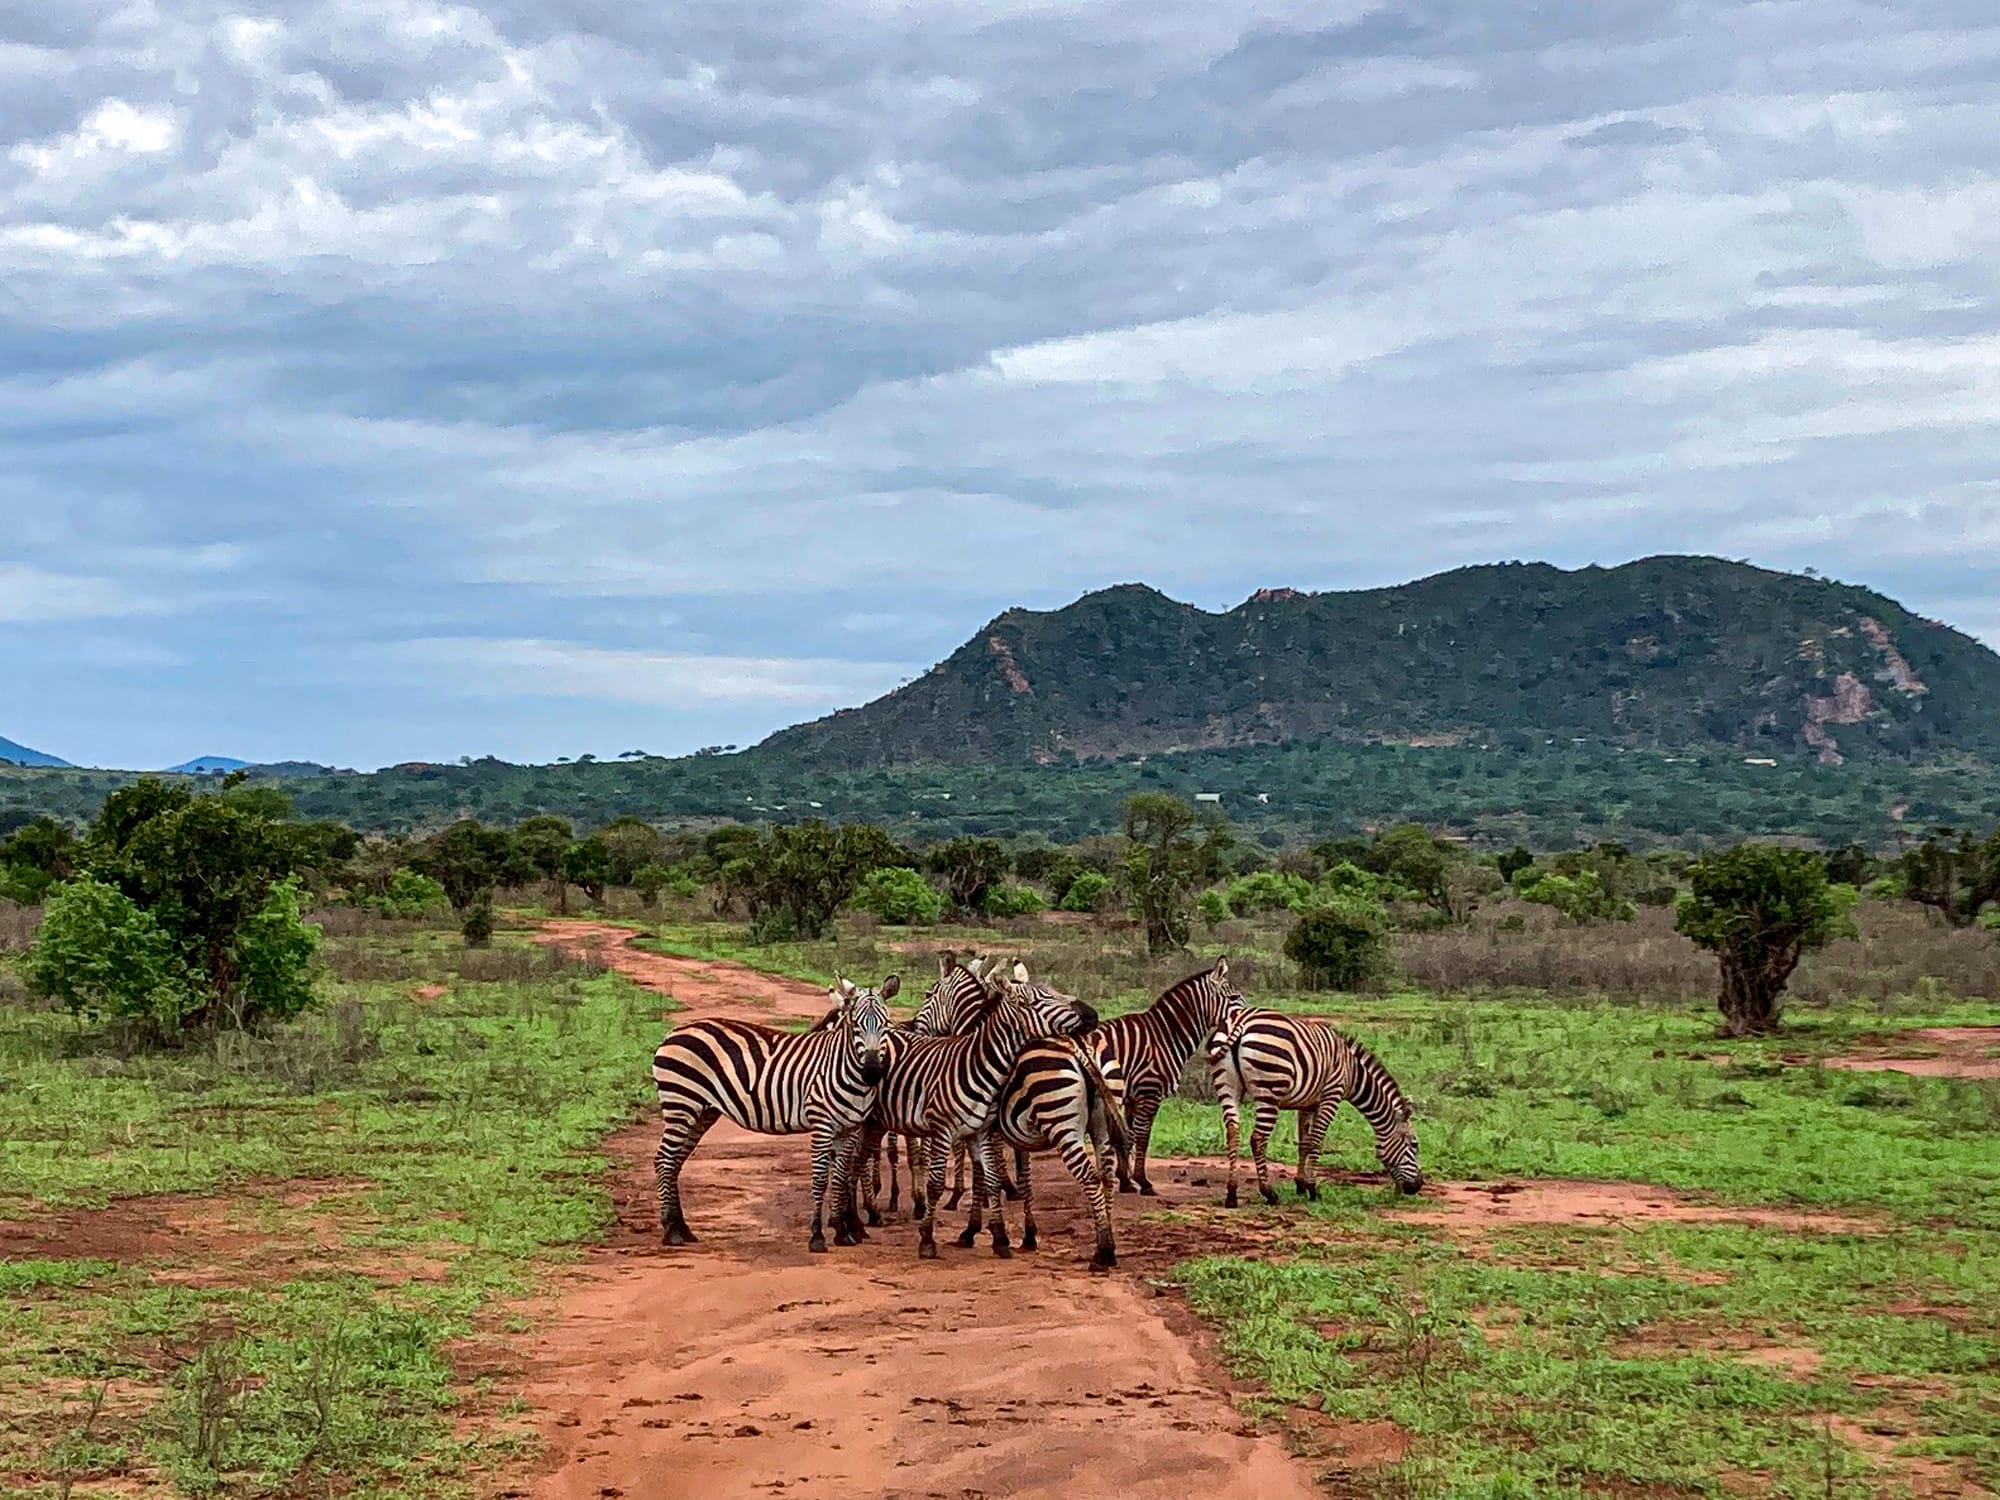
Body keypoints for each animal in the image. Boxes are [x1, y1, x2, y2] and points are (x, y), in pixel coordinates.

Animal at [650, 975, 896, 1254]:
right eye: (855, 1025)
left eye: (886, 1025)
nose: (873, 1072)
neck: (840, 1067)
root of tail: (674, 1032)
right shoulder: (822, 1125)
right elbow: (821, 1178)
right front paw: (818, 1235)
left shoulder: (850, 1127)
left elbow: (841, 1177)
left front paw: (843, 1232)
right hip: (681, 1103)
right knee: (664, 1159)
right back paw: (671, 1230)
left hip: (702, 1111)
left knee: (676, 1161)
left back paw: (681, 1227)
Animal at [852, 962, 1098, 1258]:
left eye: (928, 995)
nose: (1092, 1015)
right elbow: (1003, 1176)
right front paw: (999, 1229)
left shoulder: (983, 1131)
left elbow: (987, 1173)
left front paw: (976, 1225)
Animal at [954, 1033, 1129, 1269]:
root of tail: (1082, 1046)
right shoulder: (1017, 1137)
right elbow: (1024, 1181)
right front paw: (1029, 1236)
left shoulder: (983, 1132)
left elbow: (983, 1177)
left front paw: (974, 1232)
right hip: (1103, 1123)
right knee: (1107, 1177)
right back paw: (1105, 1241)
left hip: (1061, 1121)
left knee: (1090, 1178)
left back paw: (1104, 1251)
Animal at [1089, 958, 1246, 1196]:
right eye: (1234, 998)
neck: (1164, 1036)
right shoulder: (1149, 1091)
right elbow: (1142, 1135)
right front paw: (1142, 1181)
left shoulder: (1132, 1097)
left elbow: (1126, 1137)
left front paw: (1125, 1180)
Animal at [1206, 1009, 1423, 1207]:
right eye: (1414, 1144)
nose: (1418, 1185)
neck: (1353, 1072)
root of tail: (1241, 1021)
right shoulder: (1331, 1096)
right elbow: (1317, 1141)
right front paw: (1312, 1188)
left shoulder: (1307, 1104)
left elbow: (1304, 1143)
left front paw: (1300, 1185)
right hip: (1268, 1092)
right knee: (1258, 1139)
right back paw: (1268, 1192)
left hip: (1227, 1086)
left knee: (1233, 1132)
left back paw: (1232, 1193)